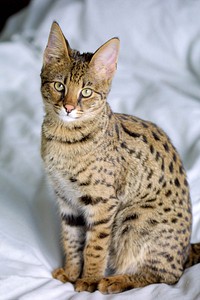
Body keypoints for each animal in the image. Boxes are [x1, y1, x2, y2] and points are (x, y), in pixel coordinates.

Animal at [40, 22, 200, 294]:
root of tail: (186, 250)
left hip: (134, 217)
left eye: (86, 92)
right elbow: (72, 240)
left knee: (169, 275)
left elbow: (94, 247)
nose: (69, 108)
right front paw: (71, 272)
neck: (63, 138)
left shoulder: (103, 202)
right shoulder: (67, 200)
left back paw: (116, 280)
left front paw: (89, 280)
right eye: (59, 86)